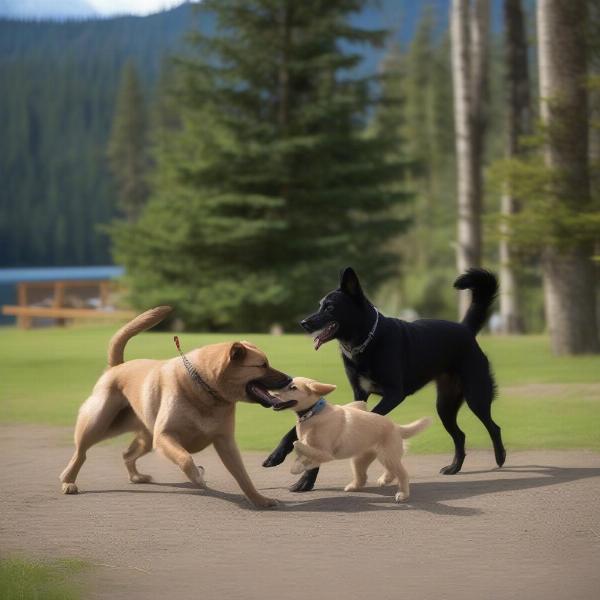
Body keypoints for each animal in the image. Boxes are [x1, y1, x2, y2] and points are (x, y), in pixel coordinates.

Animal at [59, 308, 290, 508]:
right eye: (262, 365)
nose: (289, 378)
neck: (205, 389)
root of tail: (117, 366)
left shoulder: (225, 442)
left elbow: (243, 476)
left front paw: (259, 499)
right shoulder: (165, 436)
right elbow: (186, 458)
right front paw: (198, 475)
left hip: (145, 437)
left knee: (127, 454)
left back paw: (136, 476)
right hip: (99, 424)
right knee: (81, 454)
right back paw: (68, 481)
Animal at [272, 380, 432, 502]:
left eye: (293, 387)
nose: (273, 395)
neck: (314, 412)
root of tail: (396, 427)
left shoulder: (325, 453)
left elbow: (301, 447)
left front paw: (297, 464)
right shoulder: (318, 452)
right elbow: (305, 455)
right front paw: (297, 468)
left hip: (388, 456)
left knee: (402, 473)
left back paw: (402, 494)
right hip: (364, 459)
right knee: (367, 475)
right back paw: (369, 483)